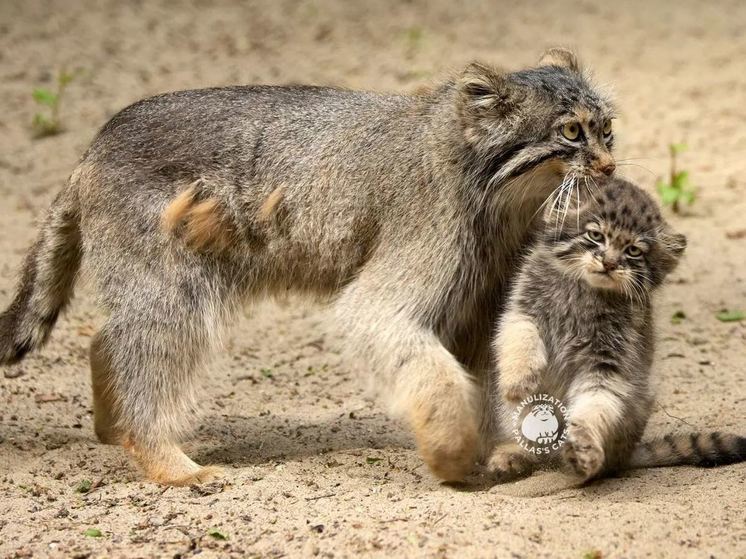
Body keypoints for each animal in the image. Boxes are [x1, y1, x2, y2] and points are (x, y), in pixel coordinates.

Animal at [488, 179, 744, 482]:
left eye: (634, 250)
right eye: (595, 235)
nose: (609, 263)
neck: (584, 292)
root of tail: (627, 454)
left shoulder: (607, 363)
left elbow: (594, 406)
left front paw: (583, 447)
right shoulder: (522, 310)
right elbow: (520, 338)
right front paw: (519, 380)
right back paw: (511, 454)